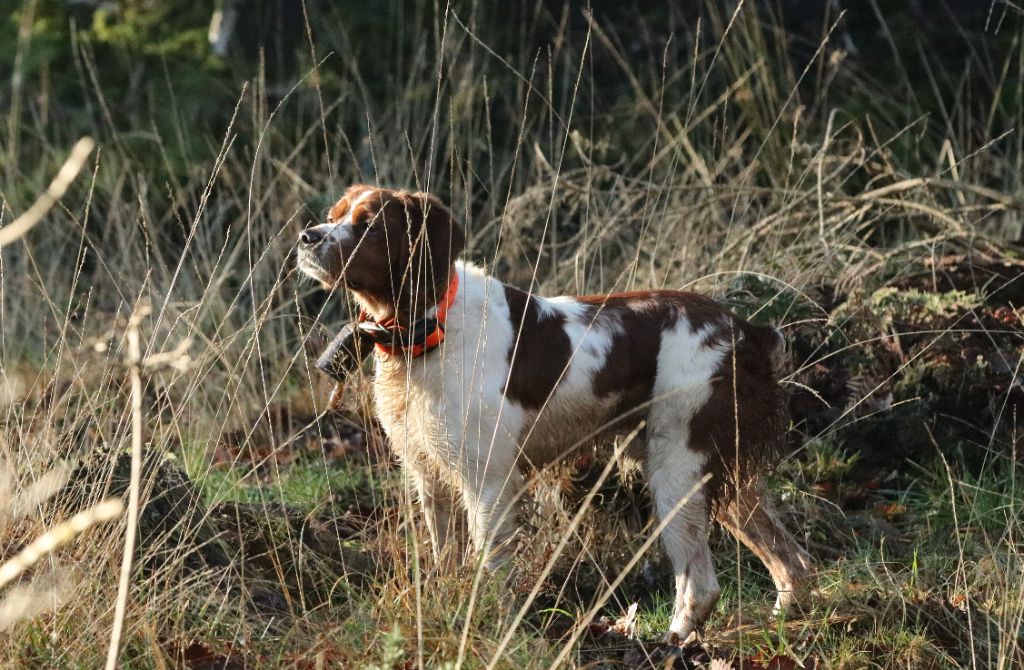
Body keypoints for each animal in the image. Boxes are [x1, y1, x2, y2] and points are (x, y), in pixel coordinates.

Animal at [297, 184, 812, 643]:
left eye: (368, 225)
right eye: (333, 214)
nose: (307, 236)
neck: (428, 326)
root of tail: (744, 330)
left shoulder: (488, 484)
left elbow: (491, 572)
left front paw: (493, 631)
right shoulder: (430, 476)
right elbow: (446, 560)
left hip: (677, 469)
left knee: (701, 584)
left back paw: (671, 644)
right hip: (726, 480)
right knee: (793, 561)